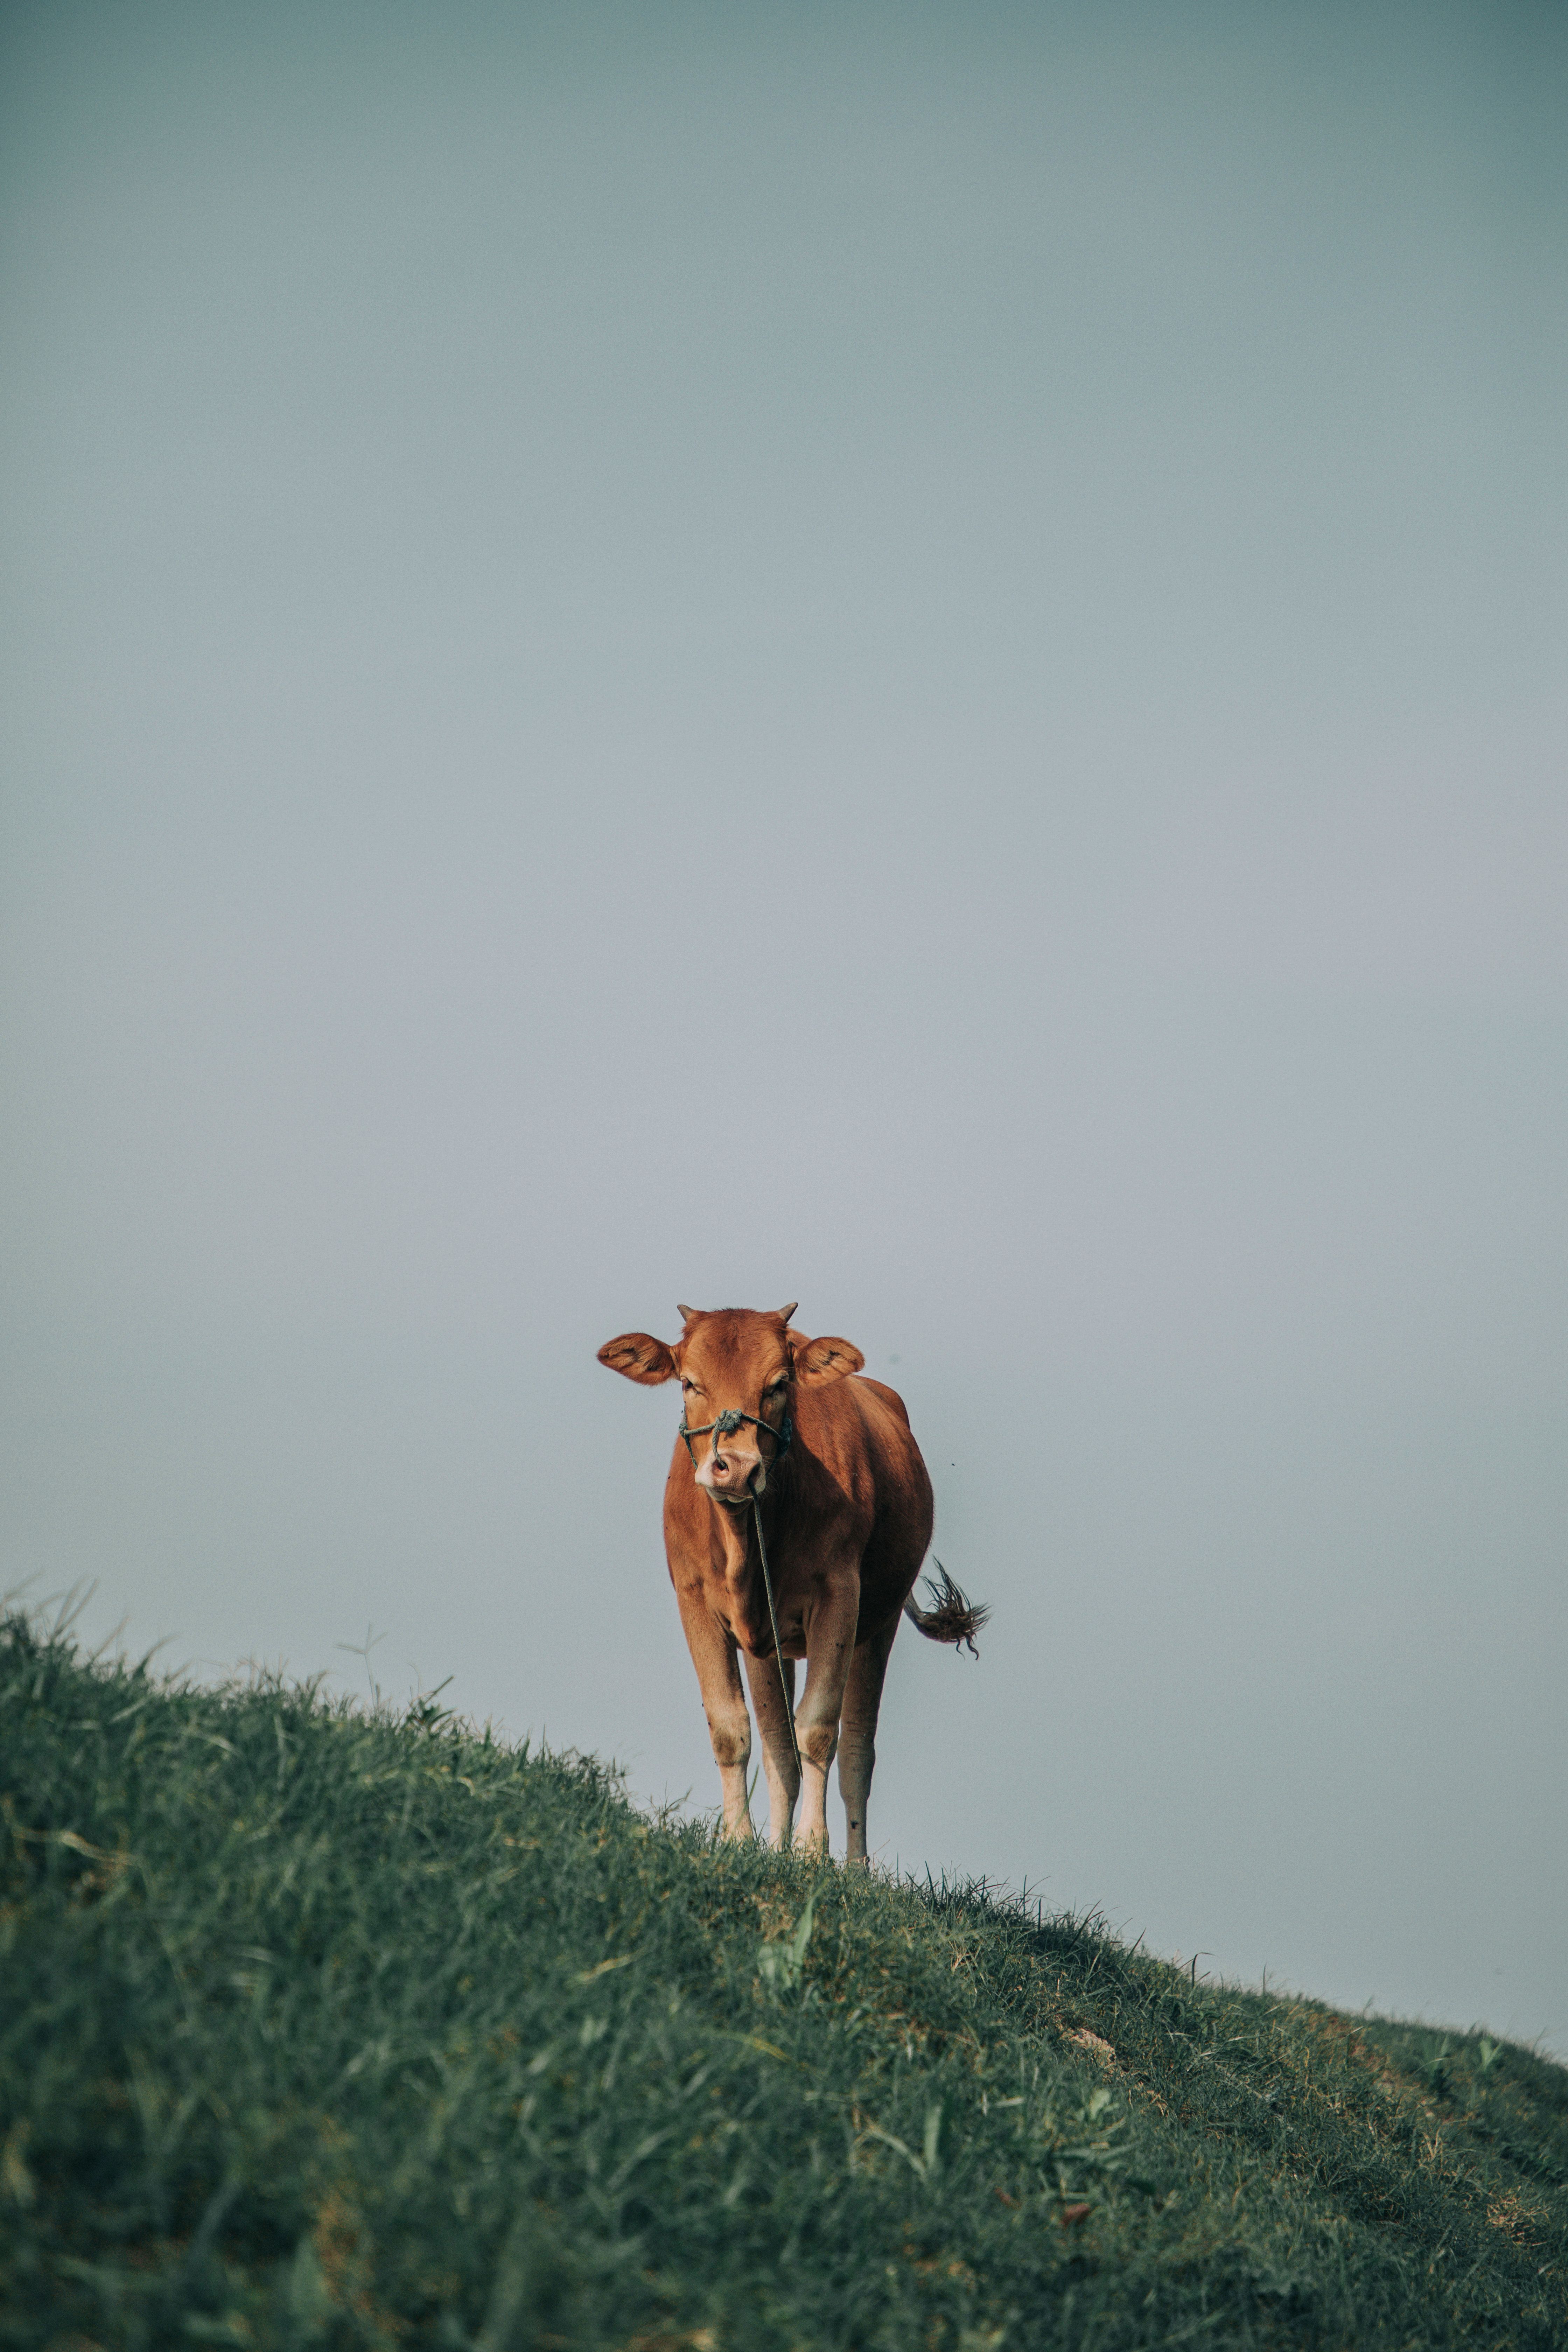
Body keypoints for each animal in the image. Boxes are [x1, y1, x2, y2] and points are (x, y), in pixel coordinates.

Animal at [597, 1303, 987, 1862]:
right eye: (689, 1383)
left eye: (779, 1384)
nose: (734, 1469)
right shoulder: (697, 1602)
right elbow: (733, 1730)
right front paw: (742, 1843)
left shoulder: (839, 1596)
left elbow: (819, 1729)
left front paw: (809, 1851)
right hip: (770, 1644)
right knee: (779, 1746)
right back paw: (775, 1846)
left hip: (879, 1623)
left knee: (857, 1752)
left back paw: (855, 1867)